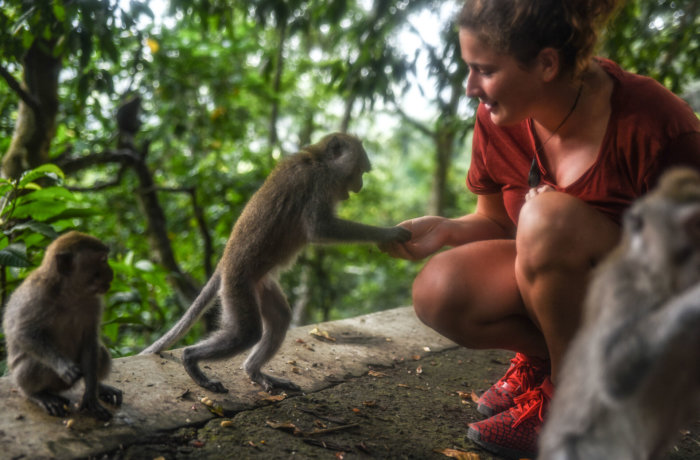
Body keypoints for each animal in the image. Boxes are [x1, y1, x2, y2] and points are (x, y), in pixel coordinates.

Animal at [2, 231, 123, 421]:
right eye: (103, 260)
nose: (111, 272)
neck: (70, 293)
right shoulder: (35, 296)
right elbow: (22, 332)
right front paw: (64, 366)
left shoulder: (94, 302)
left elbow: (90, 340)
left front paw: (91, 395)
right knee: (33, 366)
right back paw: (38, 395)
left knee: (100, 352)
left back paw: (99, 387)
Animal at [140, 132, 412, 393]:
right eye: (359, 171)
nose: (359, 186)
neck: (317, 160)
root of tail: (224, 263)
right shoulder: (318, 183)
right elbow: (320, 228)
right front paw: (390, 234)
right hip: (237, 286)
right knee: (246, 333)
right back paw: (191, 360)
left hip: (261, 283)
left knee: (280, 317)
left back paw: (254, 372)